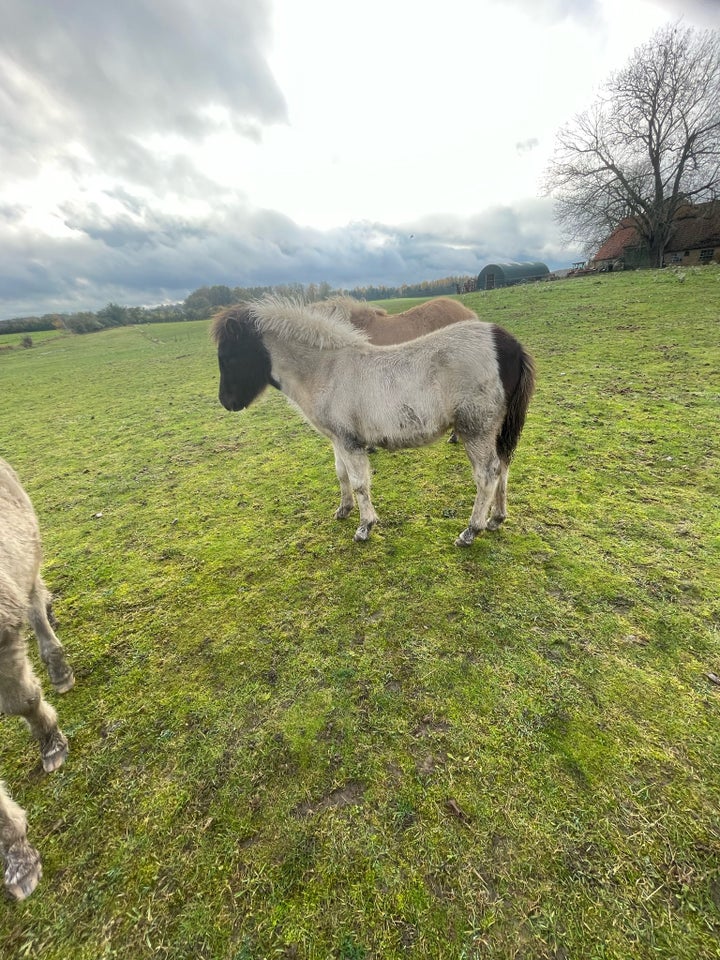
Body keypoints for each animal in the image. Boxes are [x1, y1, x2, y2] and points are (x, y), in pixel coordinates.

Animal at [212, 296, 536, 544]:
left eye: (228, 357)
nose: (227, 402)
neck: (327, 370)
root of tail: (507, 344)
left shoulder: (350, 442)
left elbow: (359, 483)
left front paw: (364, 527)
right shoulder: (338, 439)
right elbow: (341, 474)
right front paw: (343, 510)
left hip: (476, 429)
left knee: (488, 474)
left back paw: (471, 531)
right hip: (495, 429)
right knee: (503, 466)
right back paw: (496, 518)